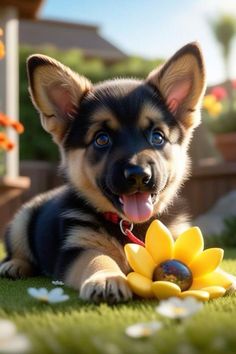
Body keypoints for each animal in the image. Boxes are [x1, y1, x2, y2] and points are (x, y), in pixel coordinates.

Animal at [0, 40, 209, 302]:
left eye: (158, 137)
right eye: (101, 139)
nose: (139, 175)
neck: (130, 225)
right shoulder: (79, 246)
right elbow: (98, 259)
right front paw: (107, 279)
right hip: (22, 219)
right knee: (18, 251)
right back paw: (14, 265)